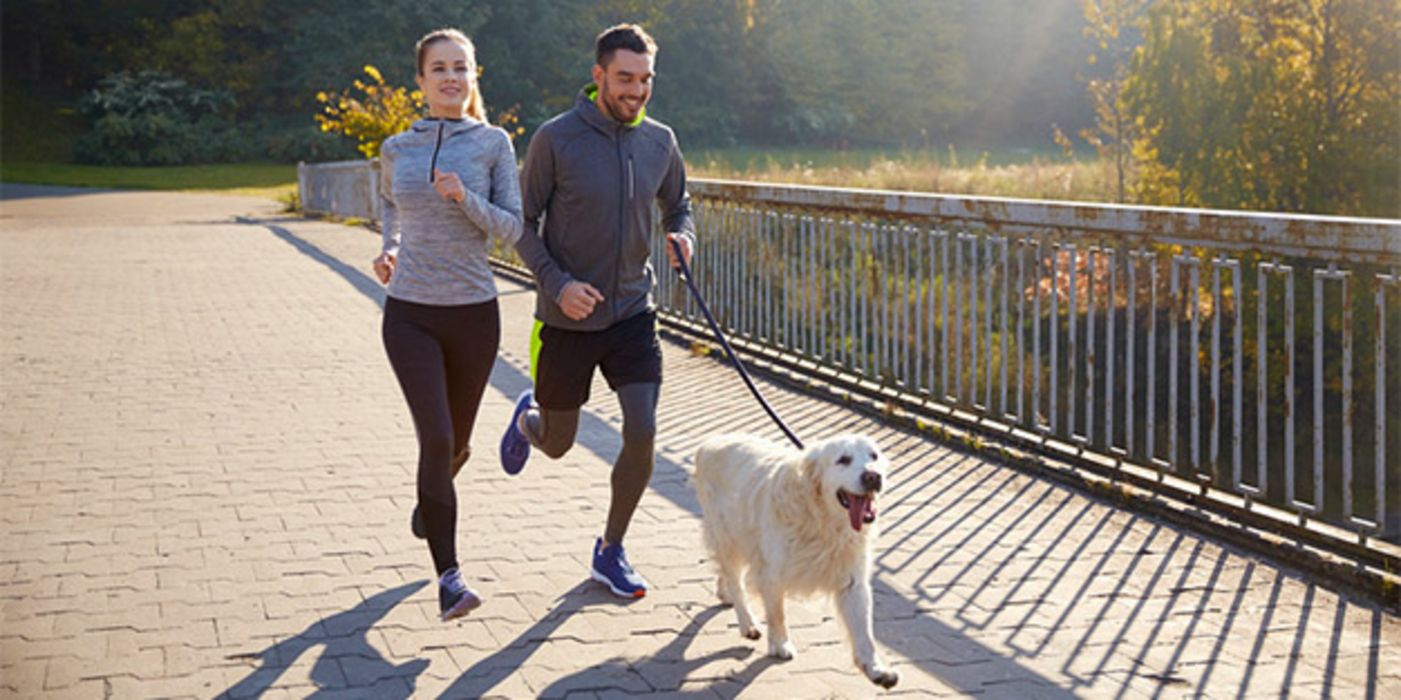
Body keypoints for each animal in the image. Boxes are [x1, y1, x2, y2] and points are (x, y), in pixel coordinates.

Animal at [694, 431, 902, 688]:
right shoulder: (771, 573)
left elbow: (864, 631)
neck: (824, 521)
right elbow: (777, 614)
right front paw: (780, 645)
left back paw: (724, 594)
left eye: (874, 456)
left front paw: (876, 668)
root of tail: (709, 441)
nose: (873, 476)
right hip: (727, 536)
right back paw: (748, 623)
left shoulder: (852, 580)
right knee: (735, 580)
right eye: (843, 459)